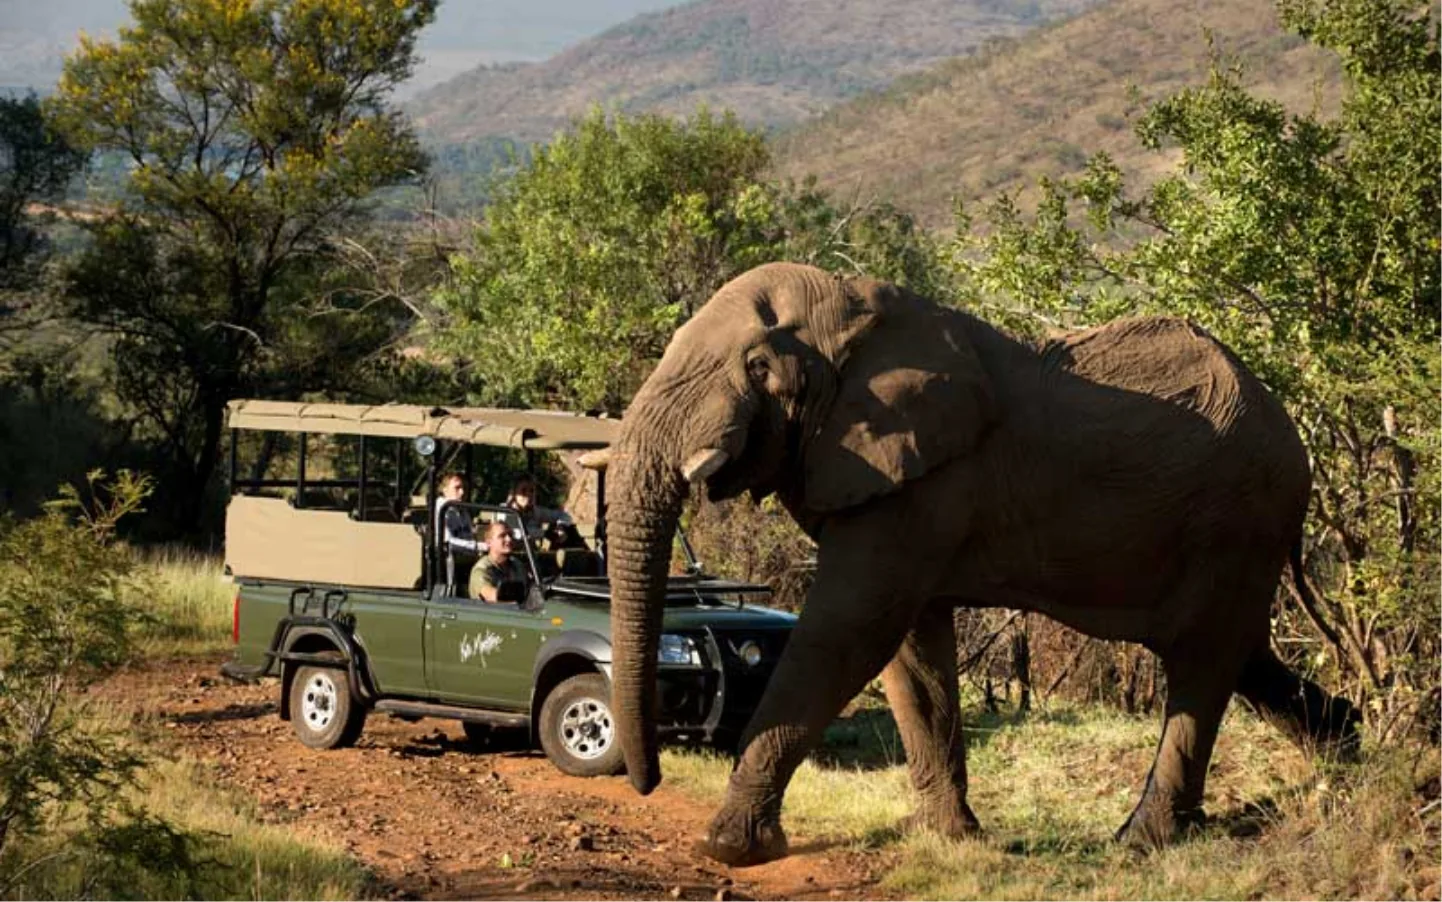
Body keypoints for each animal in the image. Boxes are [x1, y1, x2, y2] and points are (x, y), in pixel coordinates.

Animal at [602, 261, 1360, 866]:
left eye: (758, 366)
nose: (646, 781)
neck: (858, 309)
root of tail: (1295, 435)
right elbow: (910, 651)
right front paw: (952, 839)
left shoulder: (927, 480)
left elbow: (849, 631)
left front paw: (728, 847)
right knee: (1242, 656)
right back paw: (1352, 755)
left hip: (1240, 516)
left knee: (1202, 665)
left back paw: (1139, 842)